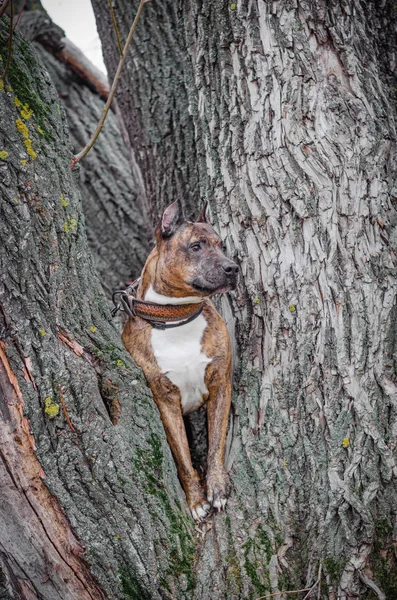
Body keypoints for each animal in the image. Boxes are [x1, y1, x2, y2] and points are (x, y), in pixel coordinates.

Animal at [122, 202, 237, 520]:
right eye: (196, 246)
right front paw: (196, 500)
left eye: (222, 246)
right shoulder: (166, 403)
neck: (176, 316)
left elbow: (215, 445)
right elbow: (183, 458)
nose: (233, 267)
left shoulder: (220, 385)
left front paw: (217, 487)